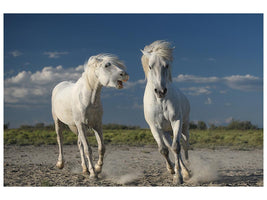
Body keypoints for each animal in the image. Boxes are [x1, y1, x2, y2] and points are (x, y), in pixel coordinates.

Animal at [141, 40, 192, 184]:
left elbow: (176, 147)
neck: (160, 101)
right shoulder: (155, 127)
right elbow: (163, 150)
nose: (160, 91)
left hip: (184, 127)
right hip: (165, 132)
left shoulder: (176, 121)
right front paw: (172, 170)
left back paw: (186, 170)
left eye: (166, 65)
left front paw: (179, 177)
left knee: (184, 145)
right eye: (150, 66)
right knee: (170, 147)